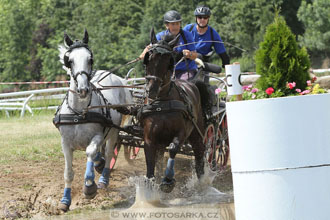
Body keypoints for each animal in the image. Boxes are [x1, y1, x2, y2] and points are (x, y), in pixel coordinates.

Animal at [55, 29, 131, 211]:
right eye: (70, 61)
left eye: (90, 59)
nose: (83, 89)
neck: (79, 112)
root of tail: (116, 78)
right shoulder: (65, 143)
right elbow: (68, 173)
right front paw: (65, 200)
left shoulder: (97, 135)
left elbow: (90, 152)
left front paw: (89, 187)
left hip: (113, 131)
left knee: (109, 153)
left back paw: (103, 179)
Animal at [141, 29, 208, 192]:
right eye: (148, 57)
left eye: (168, 61)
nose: (151, 90)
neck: (162, 102)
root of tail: (192, 83)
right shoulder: (149, 138)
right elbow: (150, 164)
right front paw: (151, 185)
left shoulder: (181, 133)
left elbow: (173, 148)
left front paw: (168, 180)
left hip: (197, 133)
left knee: (199, 154)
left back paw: (201, 183)